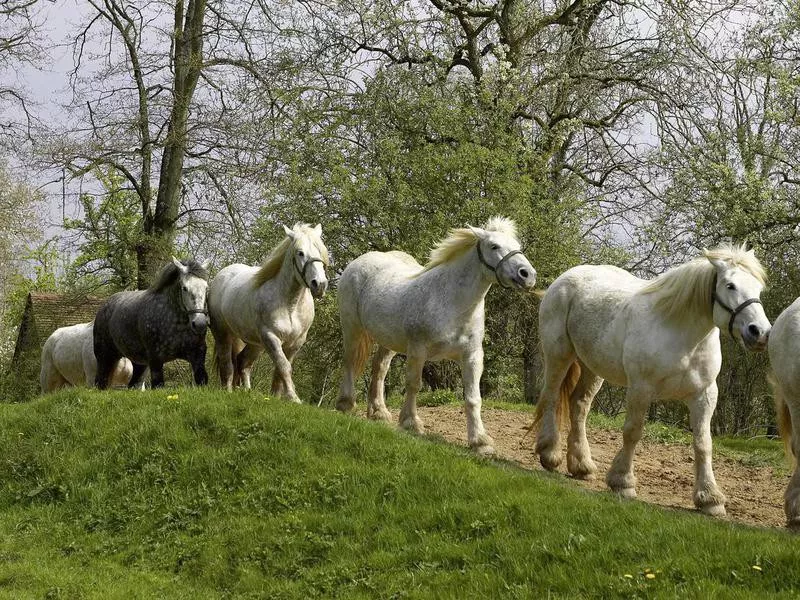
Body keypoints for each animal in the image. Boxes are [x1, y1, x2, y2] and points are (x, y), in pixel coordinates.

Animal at [209, 223, 332, 400]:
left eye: (321, 250)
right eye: (300, 253)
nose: (320, 285)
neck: (290, 306)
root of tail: (221, 276)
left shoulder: (295, 343)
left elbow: (280, 370)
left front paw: (276, 397)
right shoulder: (271, 337)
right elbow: (283, 366)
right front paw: (293, 398)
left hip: (256, 343)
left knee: (243, 362)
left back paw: (247, 391)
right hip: (222, 334)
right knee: (227, 363)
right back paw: (228, 390)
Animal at [338, 216, 536, 454]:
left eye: (517, 246)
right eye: (494, 246)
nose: (527, 275)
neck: (452, 303)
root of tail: (360, 261)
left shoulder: (472, 356)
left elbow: (473, 397)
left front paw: (480, 441)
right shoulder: (418, 350)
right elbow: (414, 385)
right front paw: (411, 423)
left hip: (388, 340)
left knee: (380, 369)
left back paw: (379, 413)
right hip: (352, 327)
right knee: (350, 362)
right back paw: (345, 404)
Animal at [536, 244, 772, 516]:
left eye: (758, 288)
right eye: (730, 285)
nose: (760, 333)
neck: (681, 335)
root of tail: (565, 278)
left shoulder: (704, 396)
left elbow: (703, 444)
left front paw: (710, 499)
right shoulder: (641, 389)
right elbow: (633, 432)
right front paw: (623, 483)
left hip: (592, 367)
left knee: (579, 406)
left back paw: (582, 466)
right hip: (558, 354)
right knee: (551, 397)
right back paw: (549, 453)